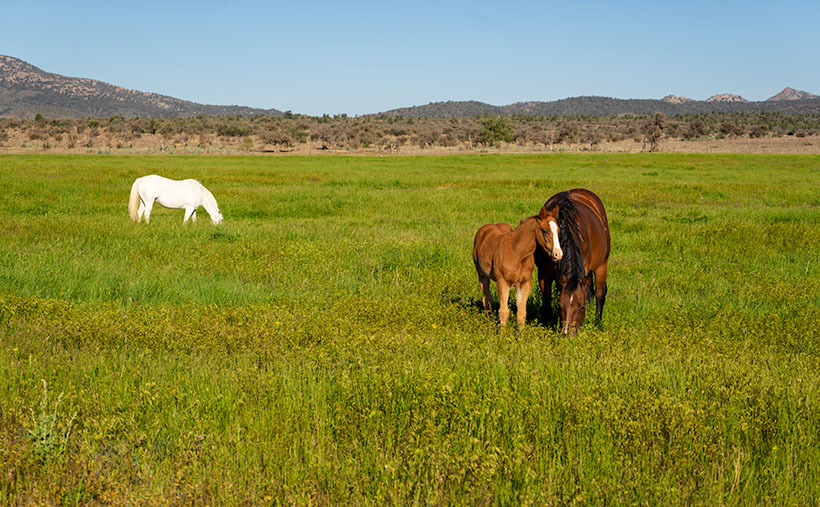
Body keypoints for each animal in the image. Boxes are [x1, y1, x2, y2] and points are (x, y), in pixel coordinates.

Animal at [532, 189, 608, 336]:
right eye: (559, 305)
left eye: (581, 307)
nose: (567, 334)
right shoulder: (544, 272)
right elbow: (547, 297)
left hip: (602, 265)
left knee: (600, 293)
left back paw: (597, 324)